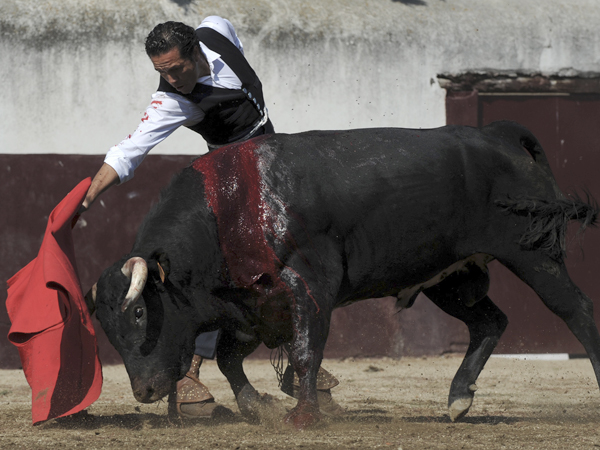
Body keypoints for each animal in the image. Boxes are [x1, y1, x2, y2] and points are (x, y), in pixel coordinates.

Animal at [94, 122, 600, 428]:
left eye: (139, 314)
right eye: (108, 329)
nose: (145, 391)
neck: (230, 209)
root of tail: (498, 135)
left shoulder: (309, 286)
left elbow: (305, 353)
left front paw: (303, 416)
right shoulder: (253, 305)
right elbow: (229, 357)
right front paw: (260, 406)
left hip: (532, 254)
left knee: (576, 310)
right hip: (449, 278)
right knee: (490, 322)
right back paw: (458, 399)